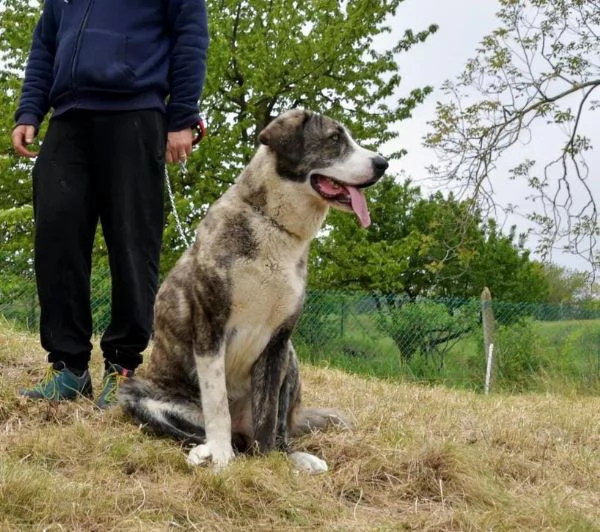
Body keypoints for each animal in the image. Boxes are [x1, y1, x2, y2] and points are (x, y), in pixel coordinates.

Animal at [119, 109, 386, 474]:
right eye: (334, 139)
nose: (383, 163)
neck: (273, 225)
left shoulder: (278, 343)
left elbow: (269, 414)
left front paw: (271, 459)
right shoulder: (210, 329)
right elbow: (217, 404)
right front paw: (221, 458)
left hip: (292, 358)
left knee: (273, 428)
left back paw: (293, 455)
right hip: (136, 394)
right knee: (203, 430)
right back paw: (205, 451)